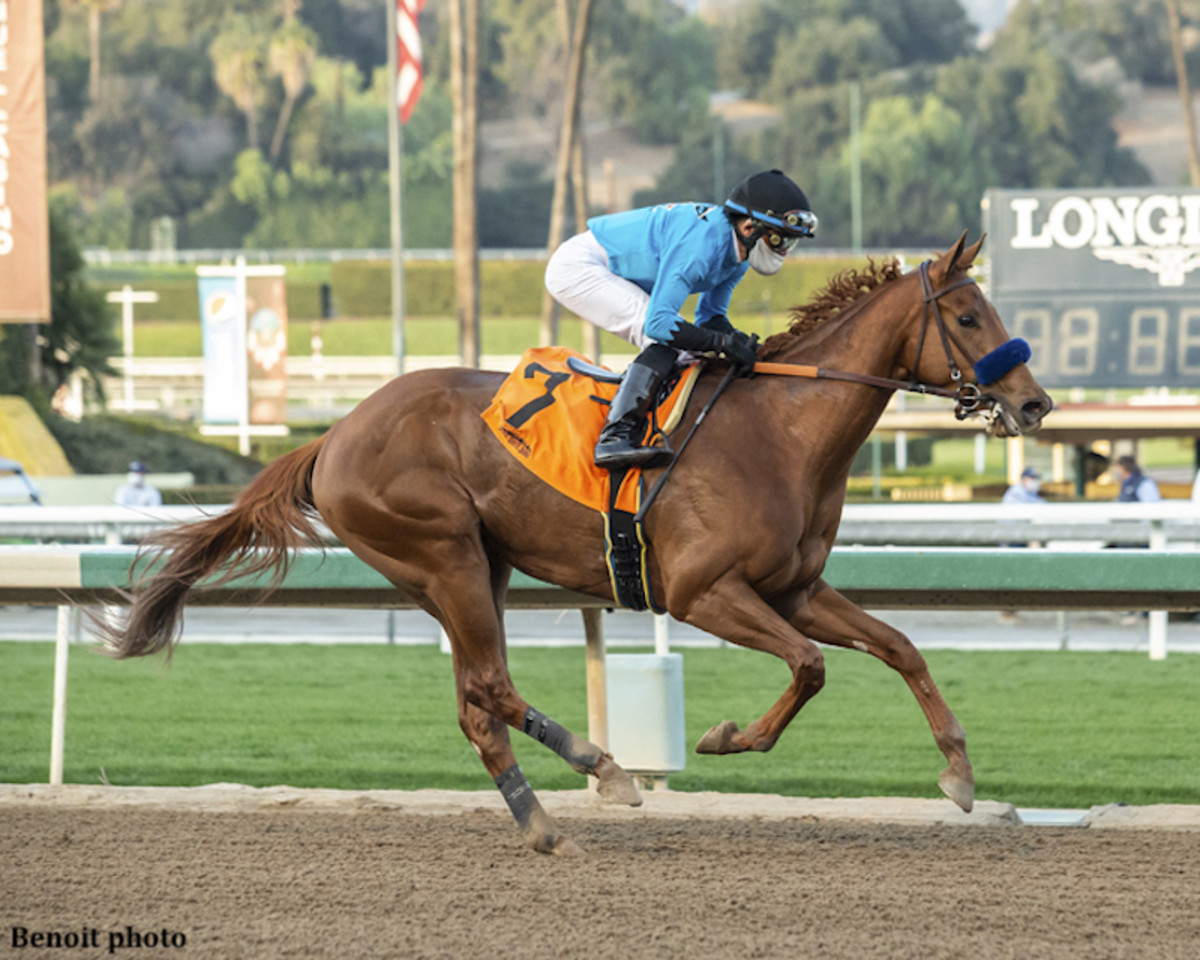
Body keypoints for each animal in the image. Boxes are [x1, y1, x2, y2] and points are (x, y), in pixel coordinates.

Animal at [105, 234, 1051, 854]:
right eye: (968, 315)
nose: (1034, 403)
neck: (780, 432)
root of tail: (330, 436)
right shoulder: (703, 593)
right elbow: (810, 667)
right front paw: (722, 738)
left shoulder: (795, 590)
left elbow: (900, 646)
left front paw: (960, 775)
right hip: (443, 553)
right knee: (488, 685)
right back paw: (605, 769)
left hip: (472, 567)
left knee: (474, 703)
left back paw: (541, 820)